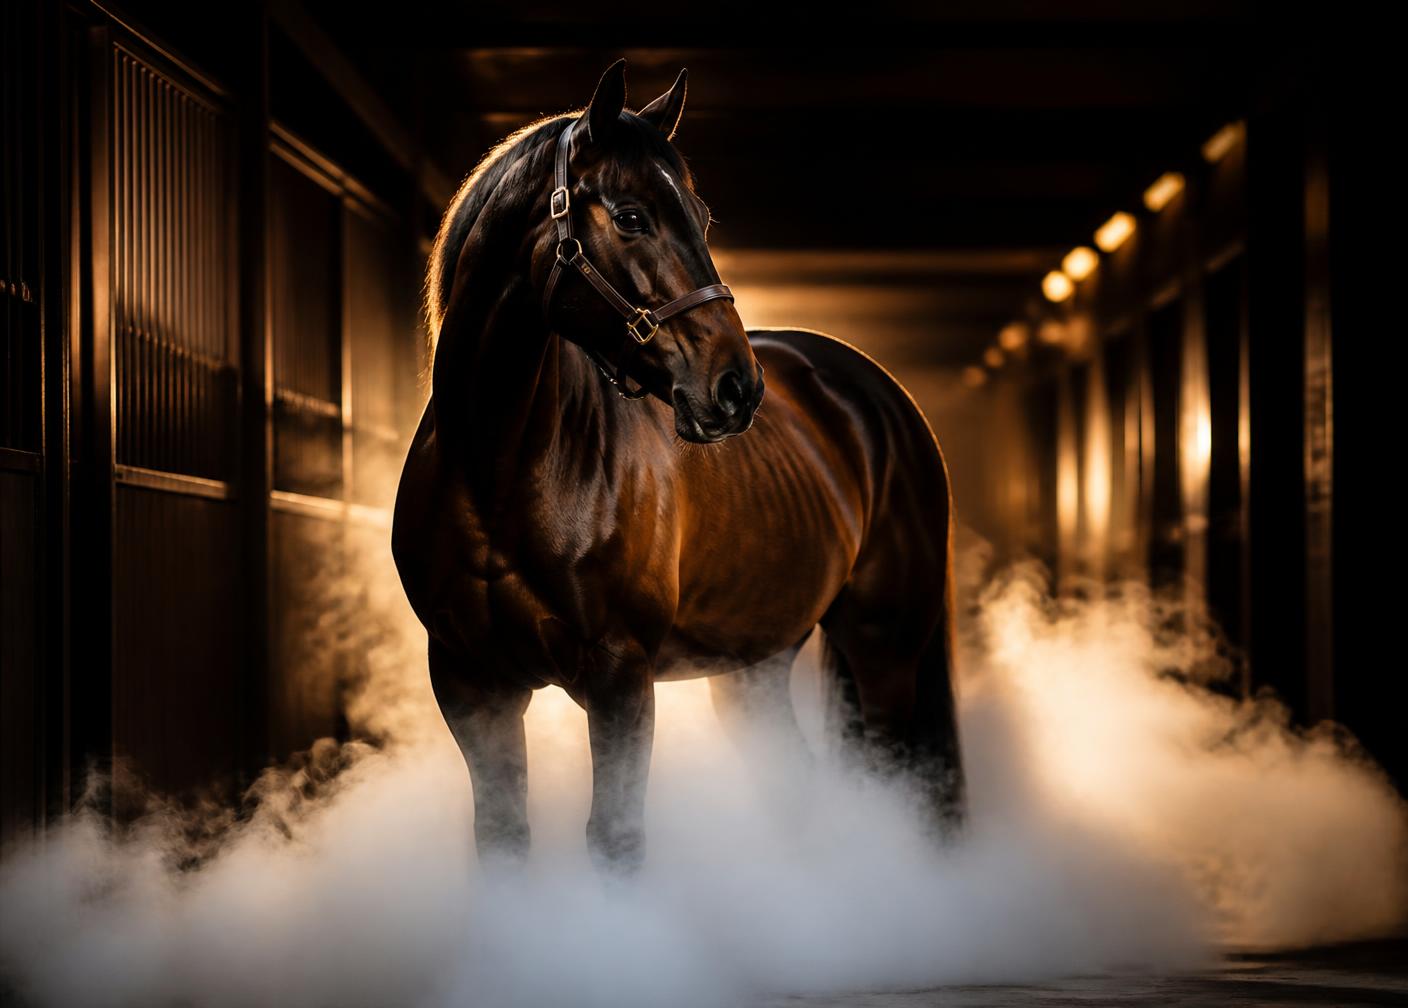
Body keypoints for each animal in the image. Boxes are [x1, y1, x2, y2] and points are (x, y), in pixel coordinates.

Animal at [392, 59, 964, 874]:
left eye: (699, 213)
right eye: (631, 217)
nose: (737, 387)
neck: (497, 471)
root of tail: (881, 397)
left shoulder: (621, 678)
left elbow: (615, 839)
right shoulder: (471, 683)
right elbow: (502, 838)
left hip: (885, 647)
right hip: (758, 666)